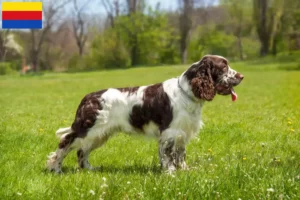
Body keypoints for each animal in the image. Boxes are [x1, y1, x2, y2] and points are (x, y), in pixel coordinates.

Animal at [47, 55, 244, 173]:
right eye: (224, 66)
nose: (241, 76)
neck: (186, 92)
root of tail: (88, 98)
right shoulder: (169, 132)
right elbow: (168, 155)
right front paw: (170, 173)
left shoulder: (182, 132)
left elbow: (180, 154)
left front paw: (184, 170)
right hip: (88, 128)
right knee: (65, 142)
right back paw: (55, 168)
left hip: (100, 134)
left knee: (82, 151)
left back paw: (89, 169)